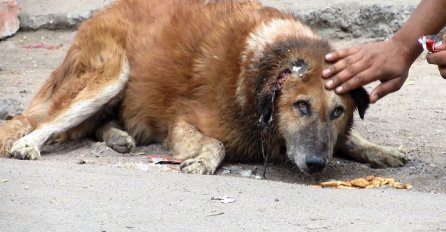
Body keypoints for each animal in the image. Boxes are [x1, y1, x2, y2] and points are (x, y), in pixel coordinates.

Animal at [0, 0, 406, 174]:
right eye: (301, 106)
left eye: (337, 111)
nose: (318, 165)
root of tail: (99, 14)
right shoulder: (182, 122)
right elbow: (216, 143)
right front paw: (203, 160)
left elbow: (349, 138)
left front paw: (379, 150)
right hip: (112, 75)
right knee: (43, 123)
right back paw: (27, 145)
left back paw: (119, 136)